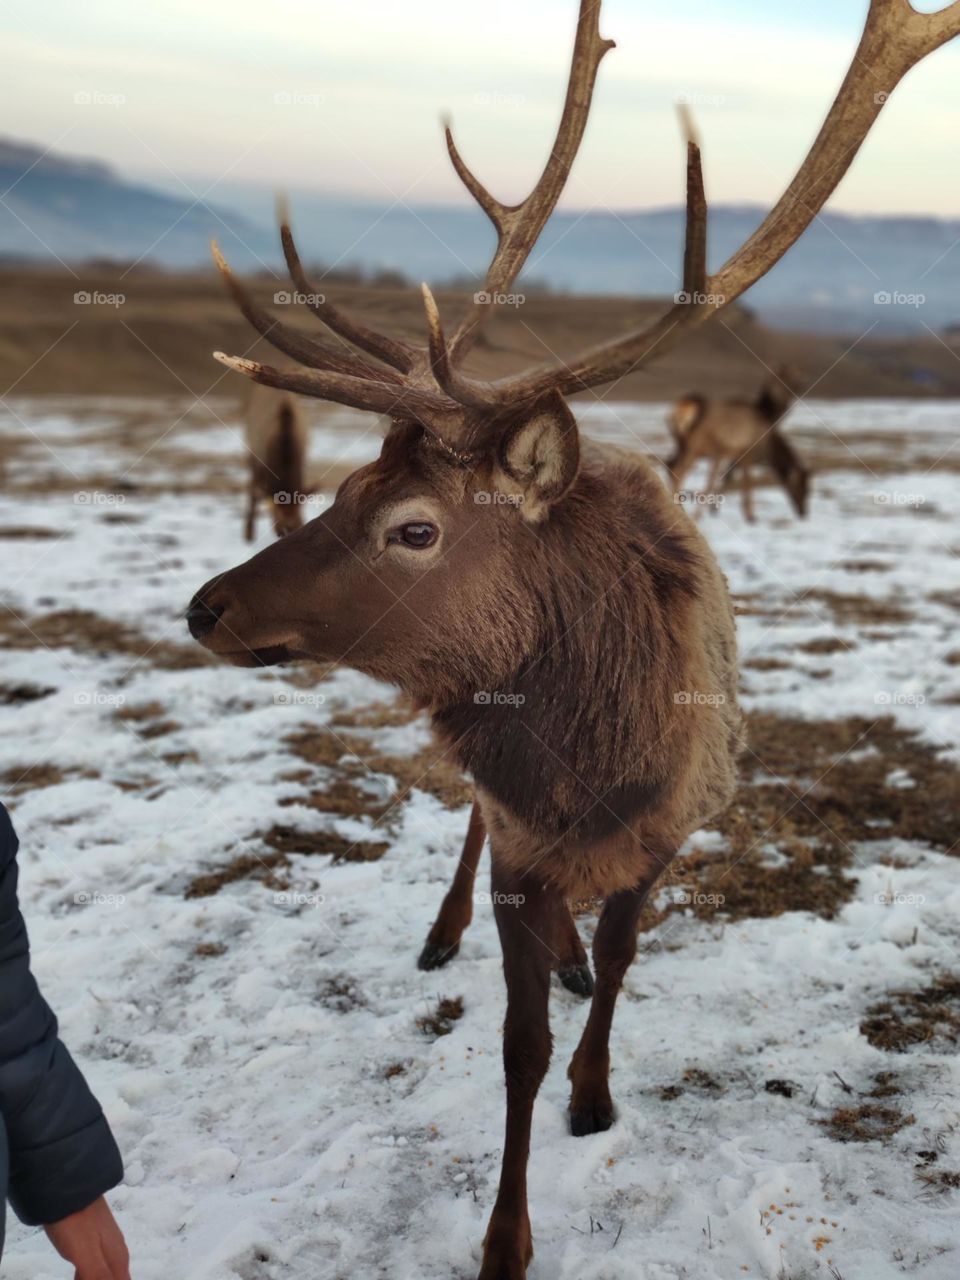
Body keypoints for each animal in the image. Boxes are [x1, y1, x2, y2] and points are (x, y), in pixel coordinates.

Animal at [670, 366, 814, 519]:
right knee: (678, 471)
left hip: (683, 445)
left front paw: (715, 509)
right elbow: (746, 483)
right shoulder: (746, 453)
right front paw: (750, 516)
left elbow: (727, 478)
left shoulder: (731, 454)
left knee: (672, 464)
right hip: (696, 446)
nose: (804, 512)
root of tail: (681, 409)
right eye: (803, 489)